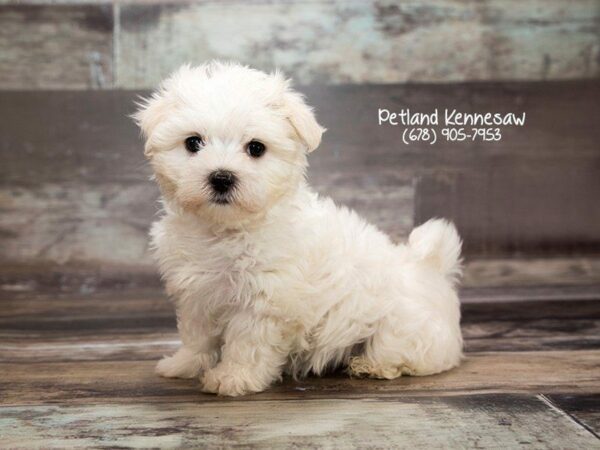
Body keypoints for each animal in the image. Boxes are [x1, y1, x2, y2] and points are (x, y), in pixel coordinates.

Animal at [135, 61, 464, 396]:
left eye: (256, 148)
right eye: (193, 143)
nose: (222, 178)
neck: (225, 230)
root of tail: (430, 267)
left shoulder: (264, 300)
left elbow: (247, 343)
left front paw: (233, 377)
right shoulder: (196, 294)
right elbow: (197, 335)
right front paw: (184, 364)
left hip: (402, 326)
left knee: (408, 353)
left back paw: (372, 365)